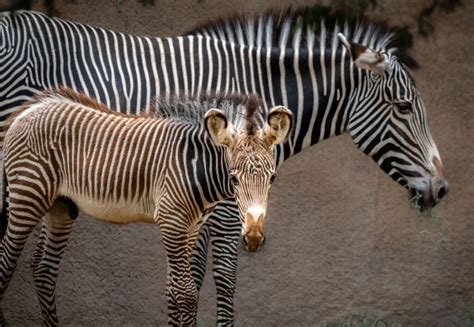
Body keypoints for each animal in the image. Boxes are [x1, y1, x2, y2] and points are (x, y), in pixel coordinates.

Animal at [0, 86, 292, 326]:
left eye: (272, 178)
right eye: (233, 178)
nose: (253, 237)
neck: (195, 166)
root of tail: (29, 109)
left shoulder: (190, 228)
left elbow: (174, 290)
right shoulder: (172, 221)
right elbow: (186, 293)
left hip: (60, 205)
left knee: (43, 267)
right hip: (27, 195)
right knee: (6, 260)